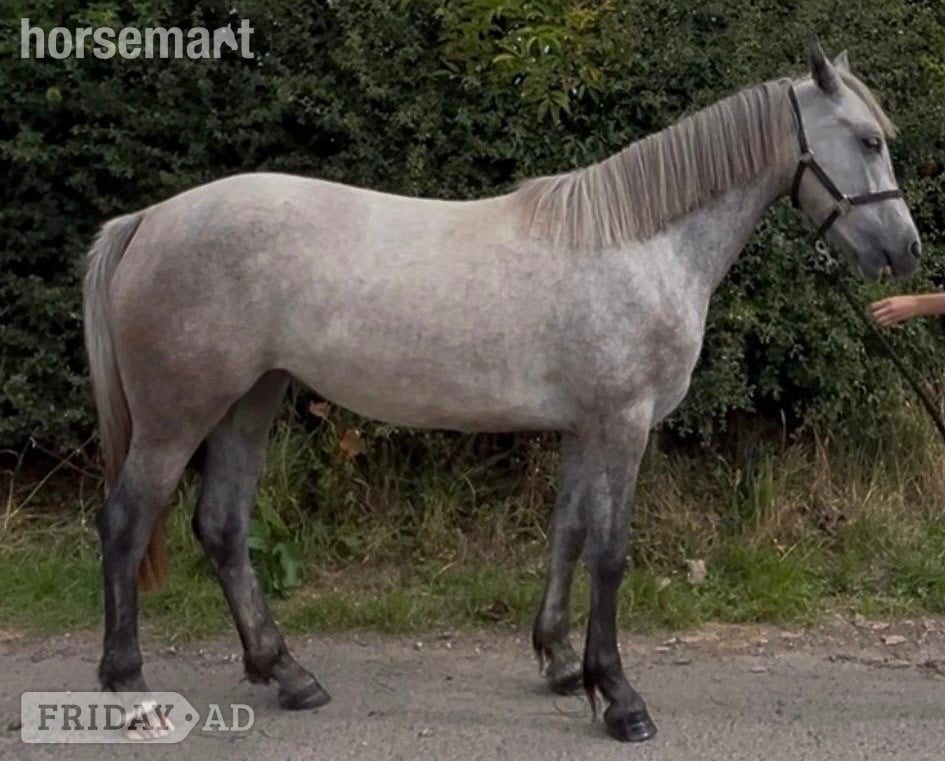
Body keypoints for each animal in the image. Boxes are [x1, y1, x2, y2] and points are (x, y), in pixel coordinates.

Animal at [83, 42, 919, 742]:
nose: (904, 250)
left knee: (223, 527)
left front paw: (560, 662)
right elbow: (609, 551)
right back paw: (131, 689)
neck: (639, 242)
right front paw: (619, 697)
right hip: (177, 416)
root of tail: (149, 219)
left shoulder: (585, 426)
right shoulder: (623, 424)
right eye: (867, 140)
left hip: (249, 402)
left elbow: (568, 533)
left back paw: (288, 673)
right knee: (125, 523)